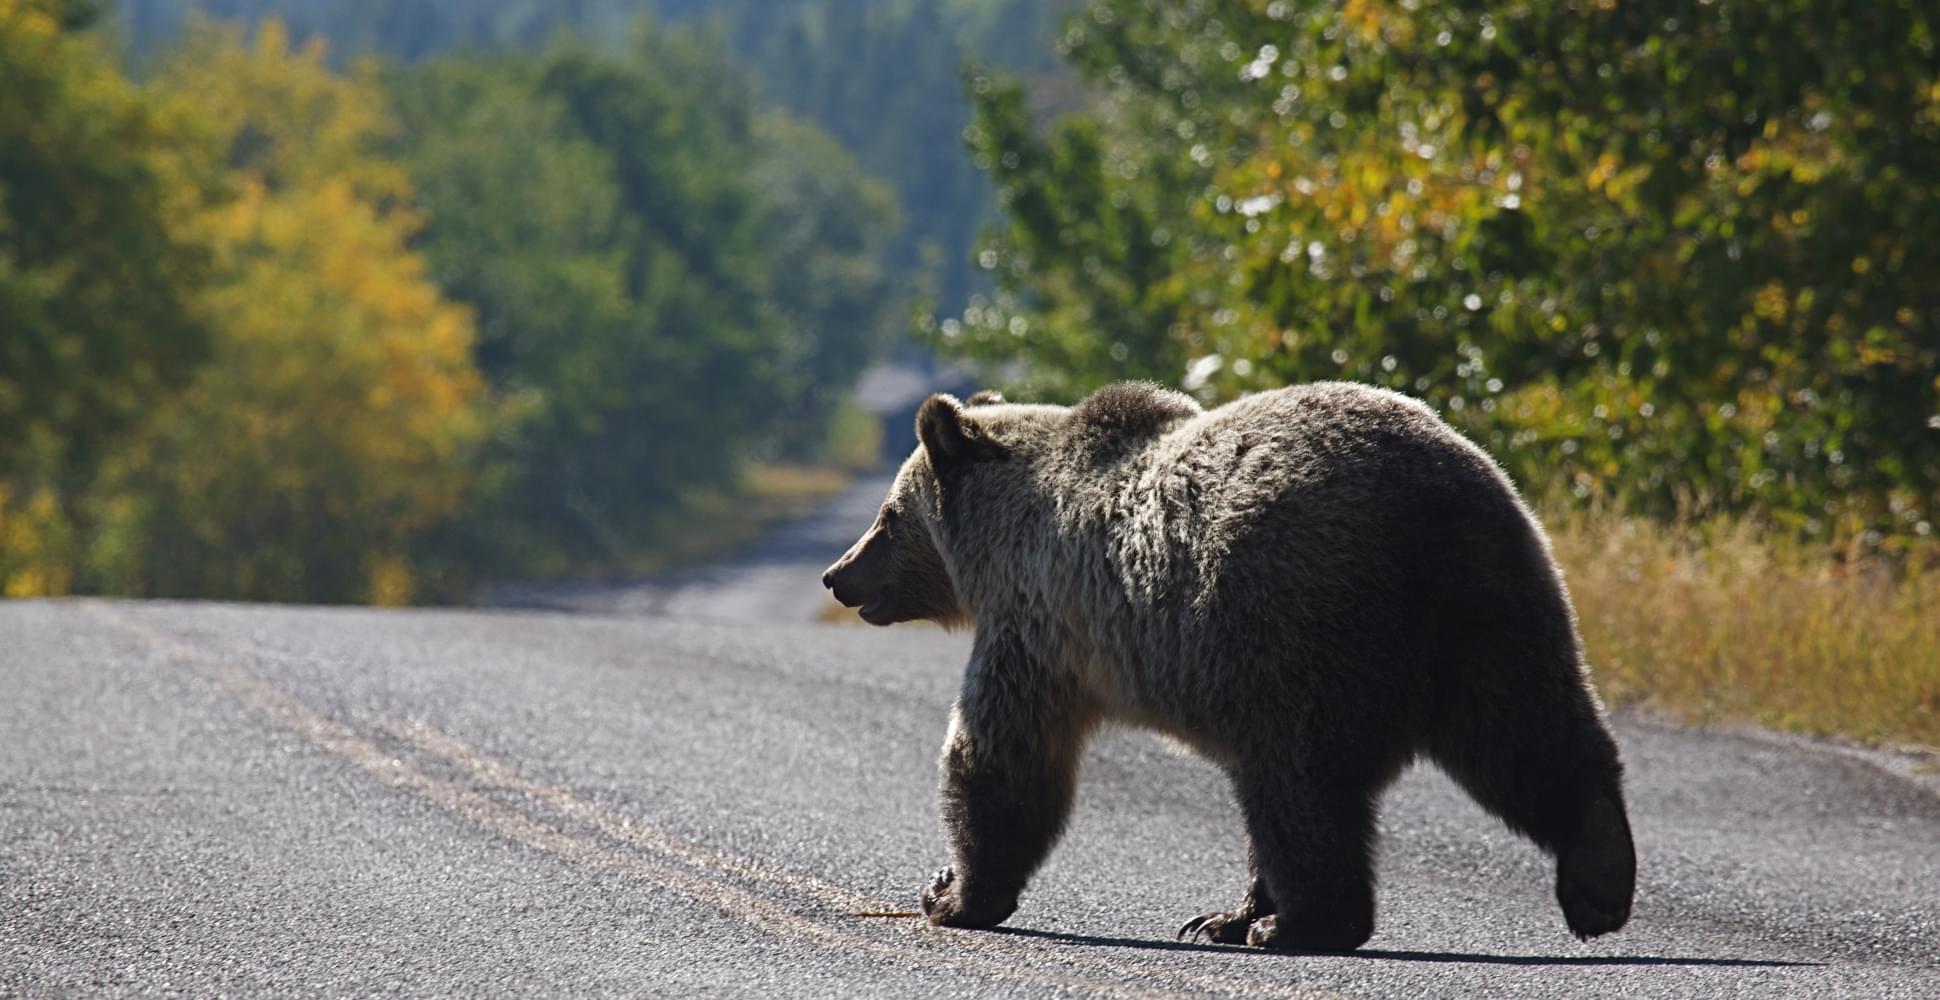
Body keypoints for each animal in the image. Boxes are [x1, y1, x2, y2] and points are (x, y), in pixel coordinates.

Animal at [822, 380, 1637, 951]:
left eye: (887, 517)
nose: (838, 575)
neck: (1002, 535)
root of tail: (1432, 509)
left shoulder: (1039, 624)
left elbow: (1000, 758)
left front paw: (952, 893)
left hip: (1296, 625)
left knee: (1300, 788)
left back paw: (1299, 924)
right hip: (1496, 605)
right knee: (1527, 735)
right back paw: (1600, 876)